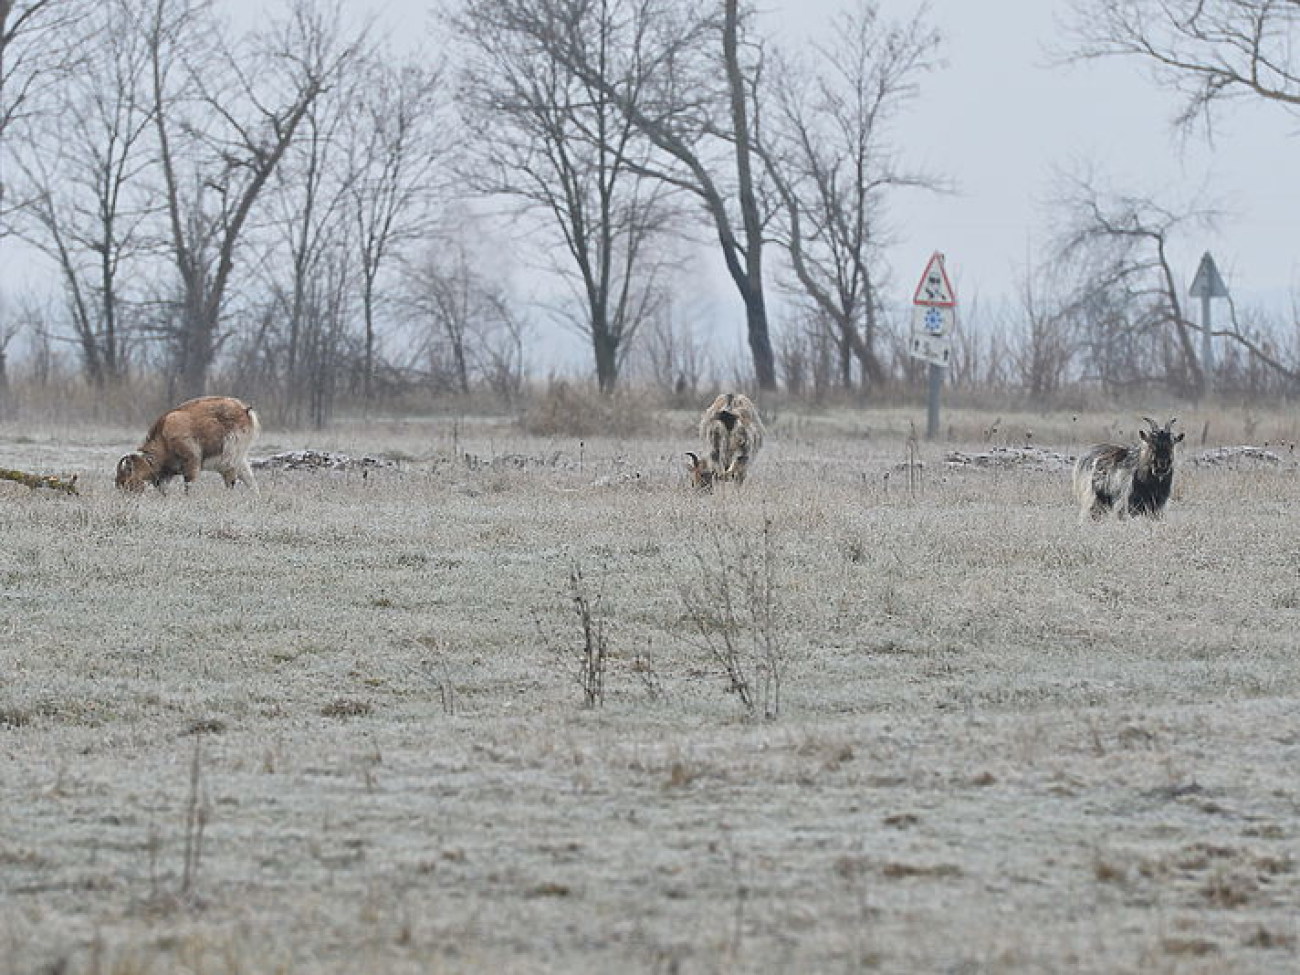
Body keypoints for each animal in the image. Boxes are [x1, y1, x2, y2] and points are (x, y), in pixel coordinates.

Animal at [119, 395, 263, 491]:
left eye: (127, 480)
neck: (164, 434)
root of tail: (245, 410)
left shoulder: (191, 462)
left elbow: (189, 485)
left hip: (229, 458)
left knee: (231, 480)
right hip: (240, 459)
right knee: (249, 479)